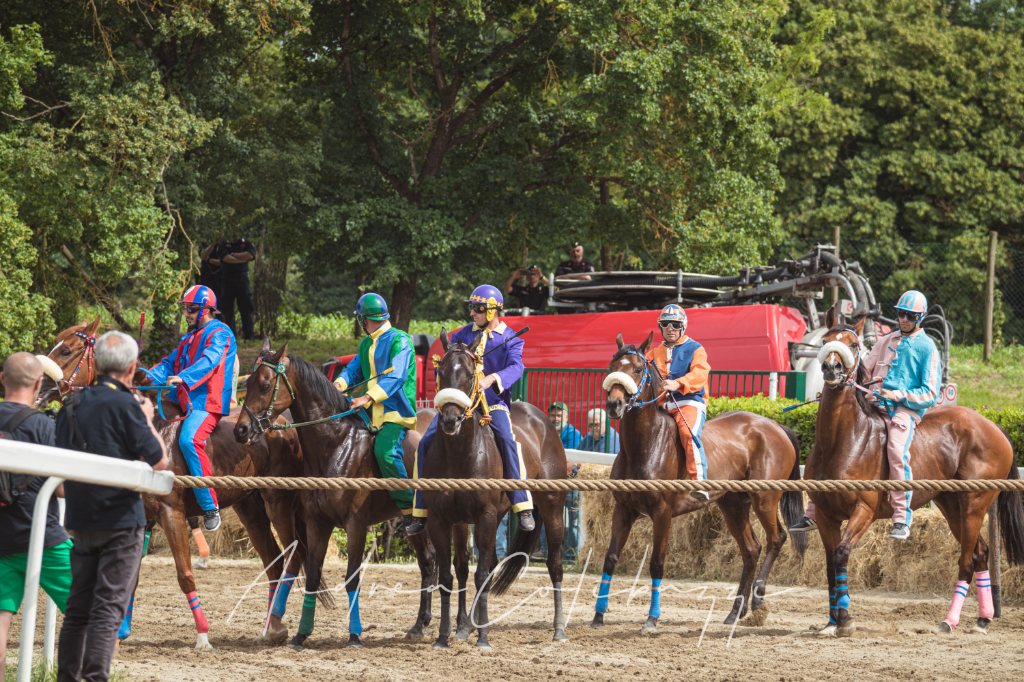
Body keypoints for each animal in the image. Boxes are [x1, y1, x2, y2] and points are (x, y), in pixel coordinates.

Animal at [41, 319, 305, 647]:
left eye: (66, 350)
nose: (41, 385)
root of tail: (280, 424)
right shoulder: (143, 519)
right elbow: (131, 577)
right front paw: (120, 633)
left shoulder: (172, 515)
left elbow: (184, 574)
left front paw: (203, 633)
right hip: (249, 508)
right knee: (273, 563)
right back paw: (272, 627)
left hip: (278, 503)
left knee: (292, 557)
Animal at [234, 339, 438, 647]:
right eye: (249, 382)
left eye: (266, 385)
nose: (241, 429)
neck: (336, 445)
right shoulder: (317, 523)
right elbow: (313, 575)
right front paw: (301, 635)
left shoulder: (356, 525)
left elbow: (352, 578)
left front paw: (354, 634)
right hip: (416, 524)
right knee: (427, 561)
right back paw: (419, 624)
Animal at [421, 329, 573, 647]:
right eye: (440, 372)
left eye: (470, 375)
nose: (450, 419)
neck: (460, 454)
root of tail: (542, 418)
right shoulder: (442, 521)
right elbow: (449, 577)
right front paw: (445, 635)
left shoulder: (486, 516)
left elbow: (480, 576)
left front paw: (483, 638)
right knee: (479, 567)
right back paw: (467, 625)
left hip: (552, 509)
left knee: (554, 565)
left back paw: (559, 629)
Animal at [598, 331, 802, 630]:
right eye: (611, 367)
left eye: (637, 369)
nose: (615, 404)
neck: (644, 446)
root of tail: (775, 425)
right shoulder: (623, 510)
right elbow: (610, 559)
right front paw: (597, 616)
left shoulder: (662, 513)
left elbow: (657, 563)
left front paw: (652, 619)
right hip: (733, 506)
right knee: (751, 549)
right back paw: (735, 611)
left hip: (764, 500)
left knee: (777, 539)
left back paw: (757, 603)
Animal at [806, 305, 1024, 634]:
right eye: (825, 341)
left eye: (854, 344)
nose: (831, 368)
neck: (842, 440)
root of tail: (993, 426)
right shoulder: (824, 515)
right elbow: (832, 565)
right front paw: (832, 621)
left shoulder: (863, 510)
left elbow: (842, 555)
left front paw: (845, 618)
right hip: (952, 507)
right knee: (981, 554)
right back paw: (983, 618)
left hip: (974, 505)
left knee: (966, 560)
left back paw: (950, 620)